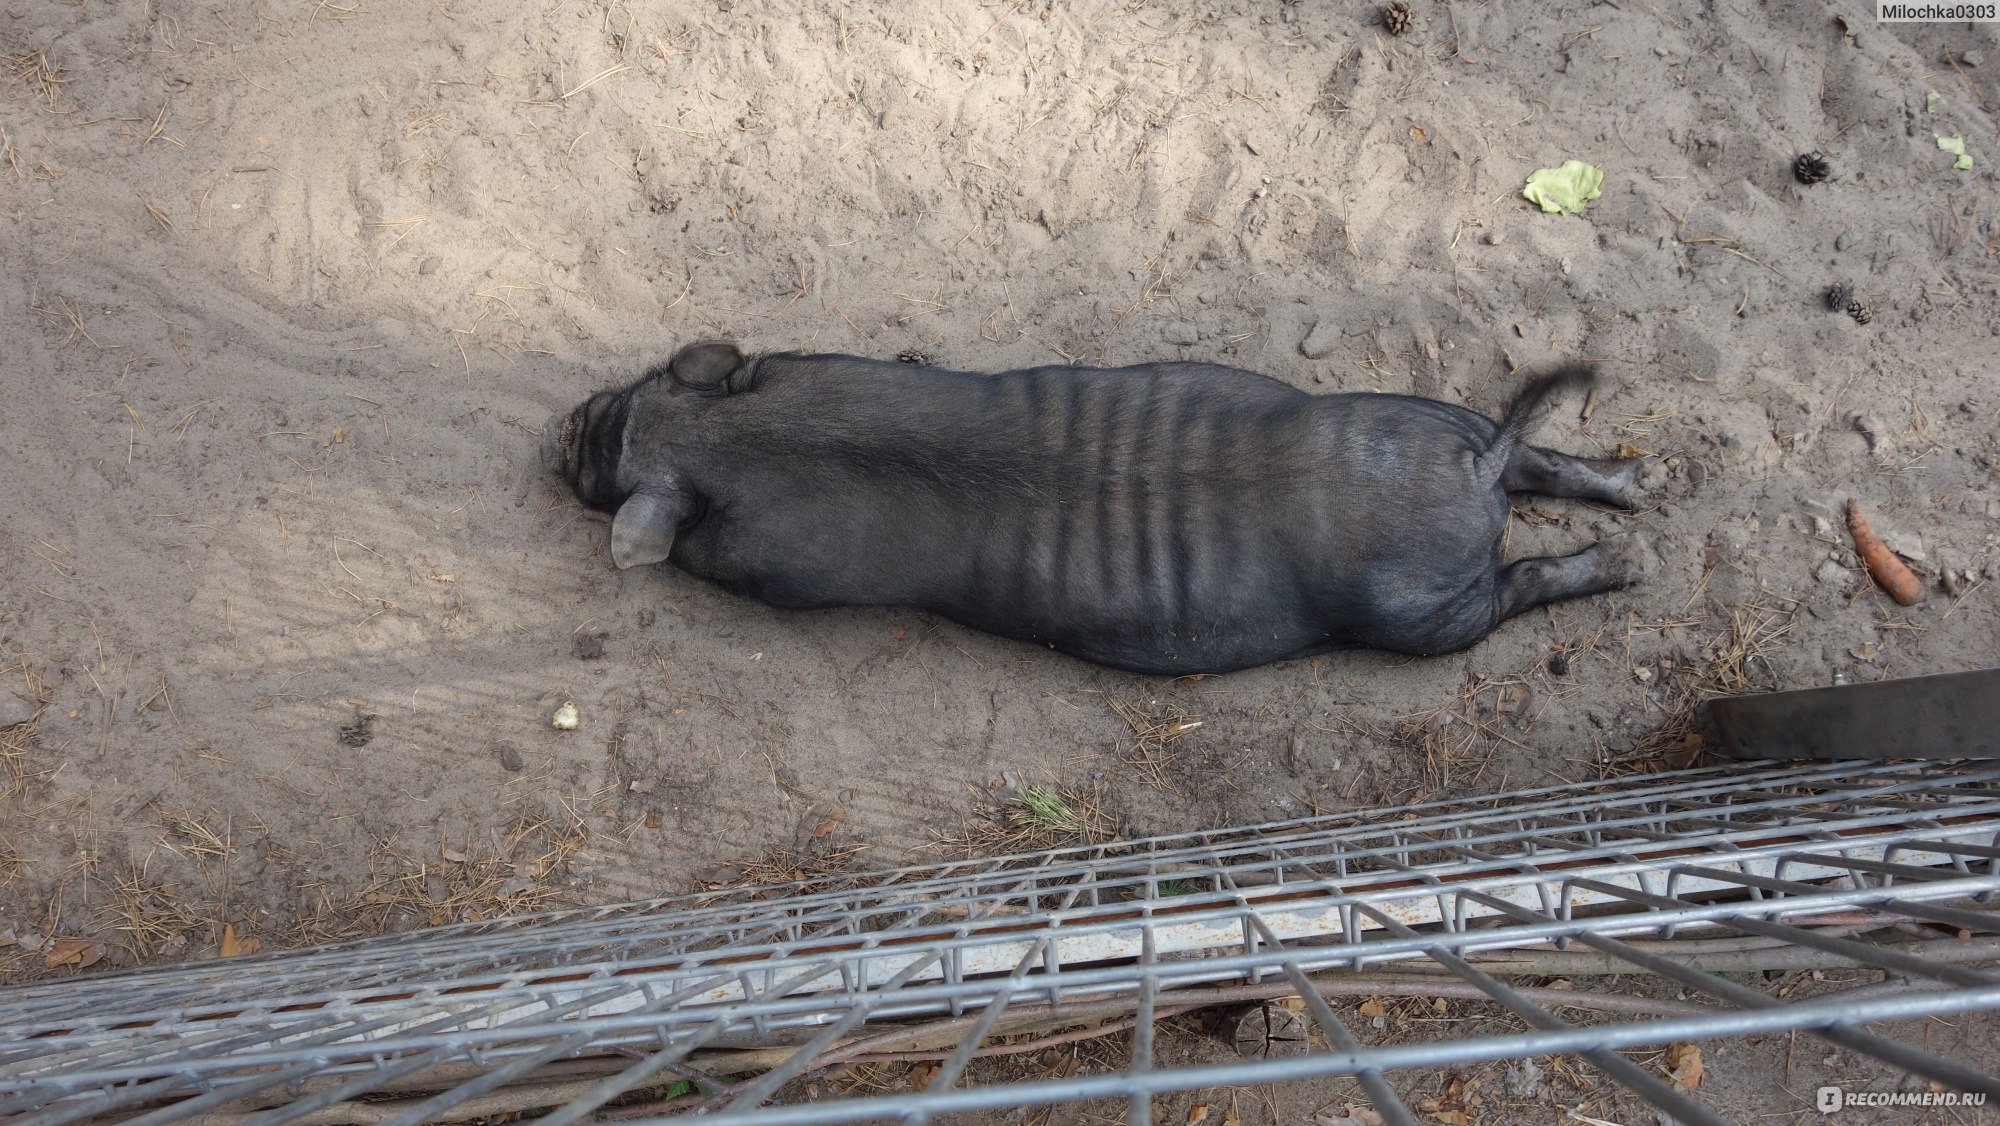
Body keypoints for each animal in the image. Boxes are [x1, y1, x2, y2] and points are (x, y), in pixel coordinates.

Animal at [548, 344, 1640, 676]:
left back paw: (1633, 567)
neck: (729, 442)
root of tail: (1472, 474)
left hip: (1421, 616)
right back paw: (1640, 486)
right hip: (1427, 416)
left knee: (1517, 581)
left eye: (608, 461)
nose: (568, 423)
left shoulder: (770, 564)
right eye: (641, 386)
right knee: (1538, 456)